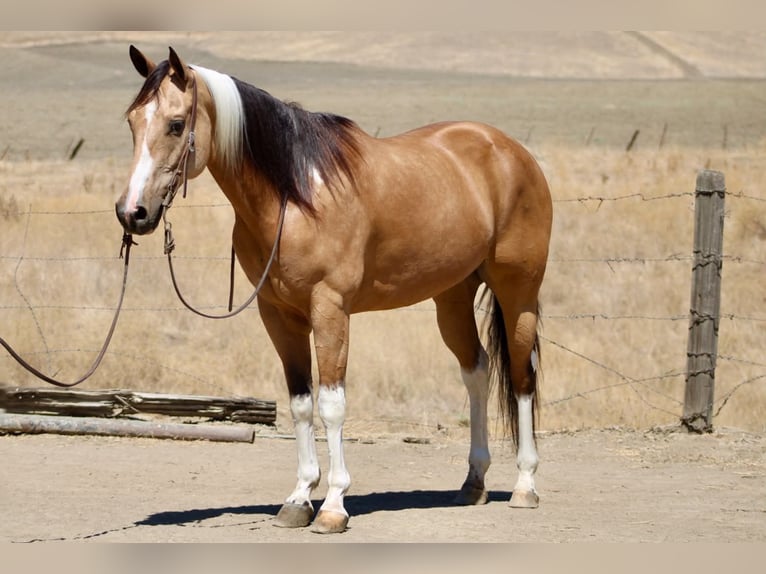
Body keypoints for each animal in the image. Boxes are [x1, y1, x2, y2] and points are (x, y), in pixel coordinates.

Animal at [115, 46, 553, 534]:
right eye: (132, 121)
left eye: (175, 124)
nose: (132, 212)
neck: (295, 195)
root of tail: (511, 151)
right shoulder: (278, 314)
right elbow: (301, 404)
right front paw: (300, 497)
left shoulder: (330, 309)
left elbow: (331, 404)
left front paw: (333, 506)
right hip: (453, 297)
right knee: (477, 370)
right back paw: (473, 482)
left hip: (518, 292)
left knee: (522, 378)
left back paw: (525, 485)